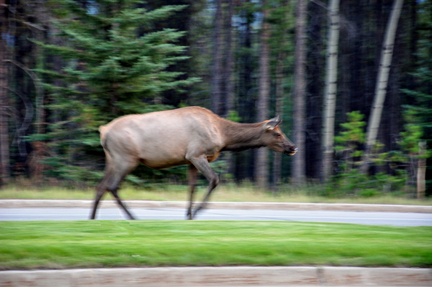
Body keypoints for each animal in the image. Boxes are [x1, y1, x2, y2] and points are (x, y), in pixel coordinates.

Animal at [91, 107, 296, 222]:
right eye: (278, 133)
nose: (293, 147)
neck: (223, 136)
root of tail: (104, 131)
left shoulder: (189, 159)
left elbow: (191, 187)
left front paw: (188, 214)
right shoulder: (197, 154)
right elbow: (214, 180)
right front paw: (196, 212)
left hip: (112, 159)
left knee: (100, 186)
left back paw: (92, 218)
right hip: (126, 158)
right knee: (112, 186)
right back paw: (133, 217)